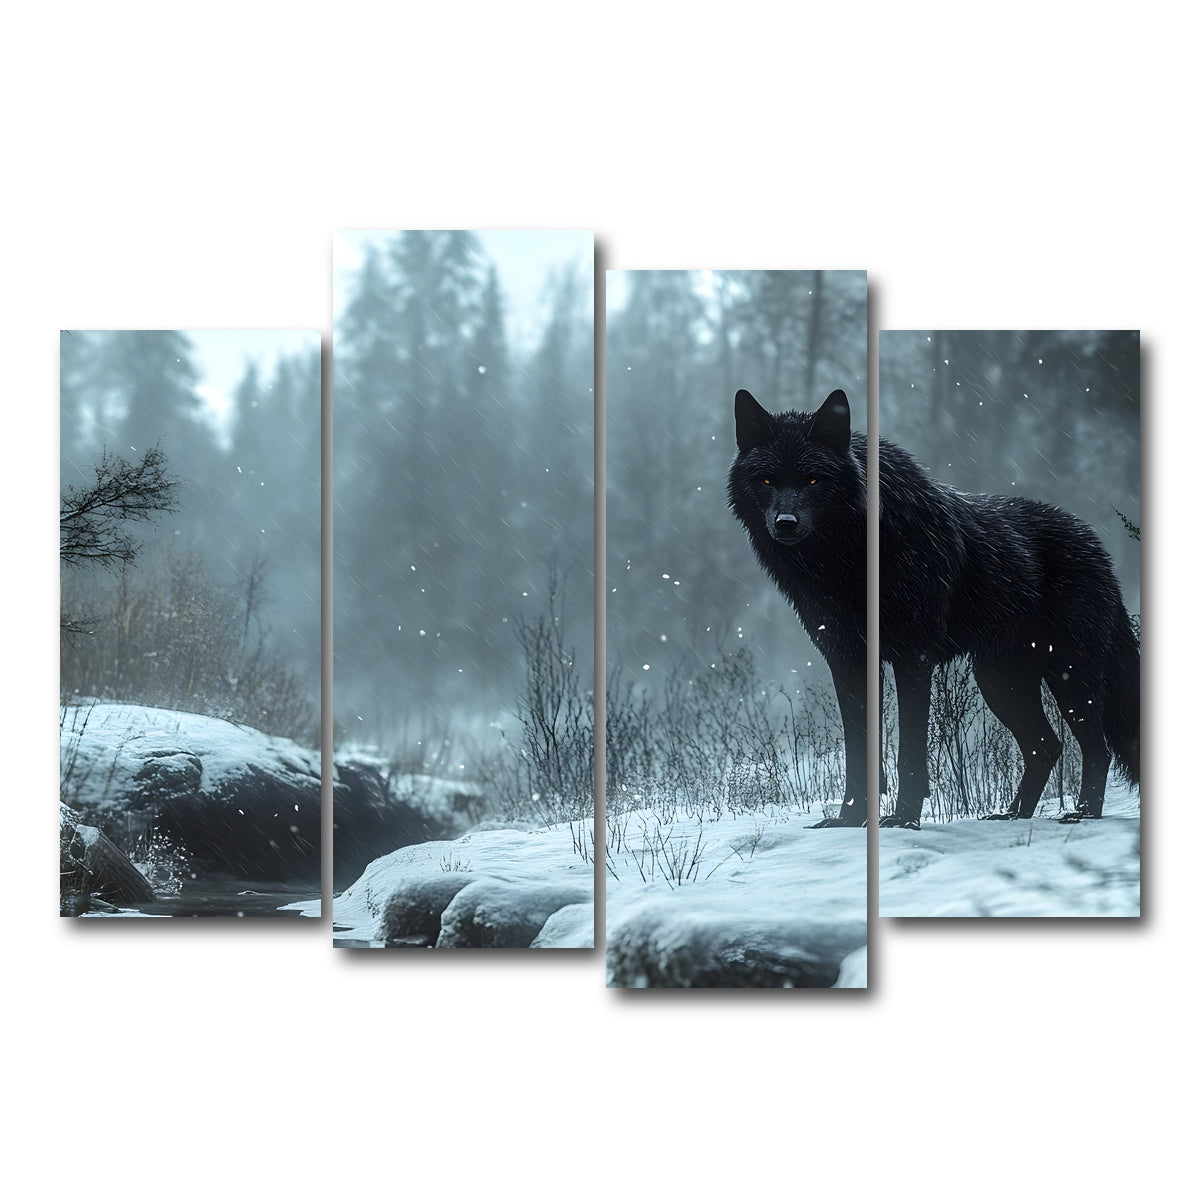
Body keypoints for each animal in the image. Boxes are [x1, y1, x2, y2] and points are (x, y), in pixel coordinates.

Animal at [728, 388, 1140, 829]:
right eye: (767, 480)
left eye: (812, 479)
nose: (785, 522)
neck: (847, 560)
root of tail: (1098, 547)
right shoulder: (847, 659)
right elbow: (859, 751)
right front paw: (849, 819)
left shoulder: (914, 656)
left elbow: (909, 748)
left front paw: (904, 818)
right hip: (999, 680)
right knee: (1046, 746)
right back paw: (1013, 815)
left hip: (1067, 675)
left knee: (1096, 748)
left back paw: (1083, 813)